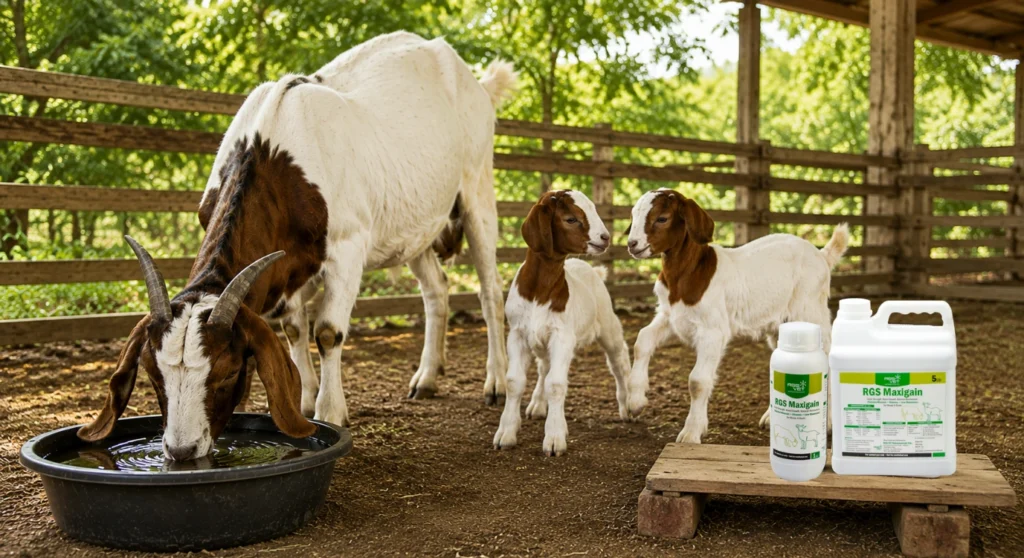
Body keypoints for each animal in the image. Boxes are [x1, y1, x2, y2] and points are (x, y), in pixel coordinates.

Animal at [79, 32, 517, 460]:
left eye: (227, 373)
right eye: (154, 375)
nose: (181, 451)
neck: (273, 153)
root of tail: (473, 80)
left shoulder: (346, 246)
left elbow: (326, 332)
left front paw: (329, 412)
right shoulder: (286, 263)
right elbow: (292, 328)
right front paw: (303, 400)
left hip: (477, 187)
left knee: (489, 289)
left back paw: (495, 380)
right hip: (415, 224)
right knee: (436, 289)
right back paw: (426, 377)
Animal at [493, 190, 632, 456]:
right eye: (571, 219)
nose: (605, 238)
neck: (540, 291)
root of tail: (591, 271)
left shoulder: (562, 336)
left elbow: (556, 384)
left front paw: (554, 438)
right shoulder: (517, 333)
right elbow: (515, 381)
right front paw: (505, 433)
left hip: (607, 324)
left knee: (618, 361)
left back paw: (629, 405)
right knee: (544, 368)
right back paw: (537, 405)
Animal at [624, 189, 848, 444]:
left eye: (662, 218)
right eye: (634, 215)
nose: (632, 244)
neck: (687, 274)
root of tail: (821, 256)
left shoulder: (713, 330)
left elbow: (697, 381)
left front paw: (691, 433)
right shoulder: (670, 317)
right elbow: (642, 340)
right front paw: (635, 402)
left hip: (810, 310)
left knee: (825, 356)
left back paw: (828, 423)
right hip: (781, 325)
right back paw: (772, 418)